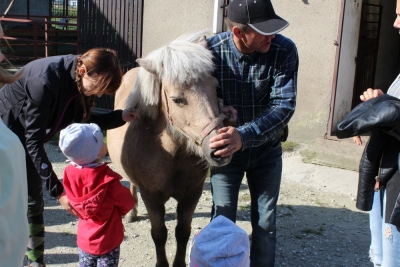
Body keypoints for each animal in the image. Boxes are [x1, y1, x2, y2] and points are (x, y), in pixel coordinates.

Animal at [106, 31, 233, 267]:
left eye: (216, 87)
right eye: (177, 99)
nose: (220, 149)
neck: (173, 154)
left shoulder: (192, 194)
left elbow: (182, 232)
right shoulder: (152, 197)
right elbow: (159, 234)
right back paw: (132, 213)